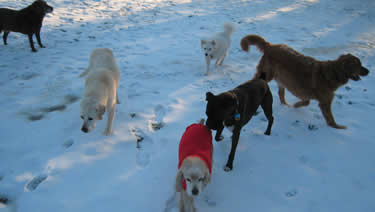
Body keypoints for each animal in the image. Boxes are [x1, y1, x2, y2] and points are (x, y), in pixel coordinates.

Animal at [241, 34, 370, 129]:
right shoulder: (325, 102)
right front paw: (338, 128)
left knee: (280, 93)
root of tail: (270, 45)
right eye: (358, 65)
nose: (368, 71)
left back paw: (286, 105)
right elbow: (330, 119)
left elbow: (305, 102)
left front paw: (295, 105)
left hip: (281, 78)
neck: (333, 73)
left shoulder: (303, 91)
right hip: (268, 75)